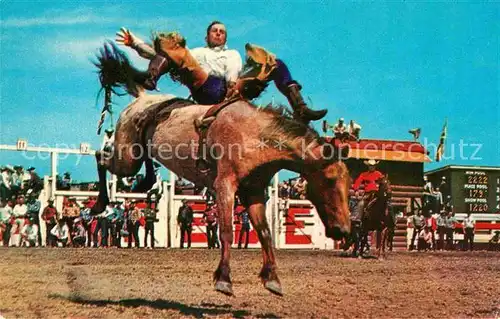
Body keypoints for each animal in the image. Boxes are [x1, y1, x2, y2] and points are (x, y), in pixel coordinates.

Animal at [90, 43, 352, 298]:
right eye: (329, 180)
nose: (344, 230)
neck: (254, 136)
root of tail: (143, 98)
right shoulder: (225, 185)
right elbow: (226, 231)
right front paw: (224, 279)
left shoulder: (254, 191)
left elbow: (264, 232)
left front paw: (272, 279)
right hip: (127, 156)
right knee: (100, 158)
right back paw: (100, 203)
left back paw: (144, 183)